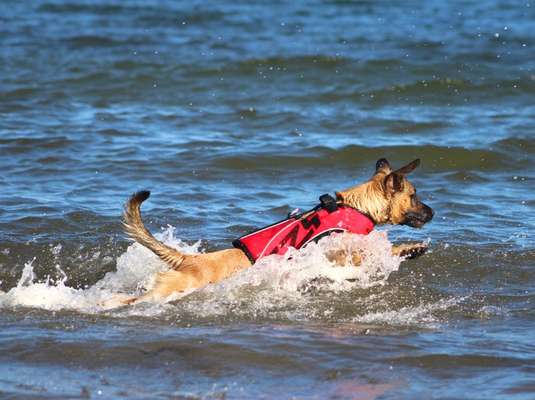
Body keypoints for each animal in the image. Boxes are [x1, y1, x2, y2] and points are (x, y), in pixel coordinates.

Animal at [116, 158, 432, 304]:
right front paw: (407, 249)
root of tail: (189, 259)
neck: (357, 206)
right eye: (414, 195)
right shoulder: (343, 251)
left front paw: (410, 249)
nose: (433, 212)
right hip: (169, 290)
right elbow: (378, 251)